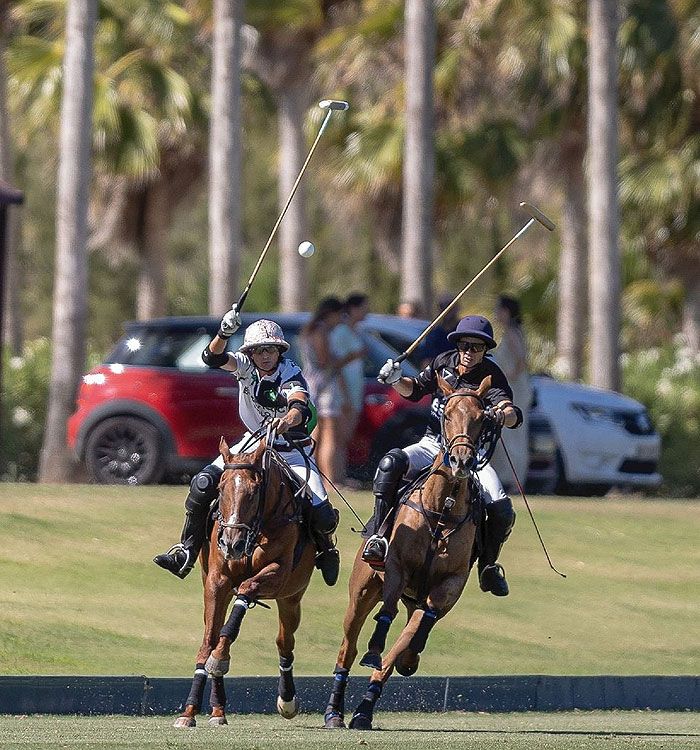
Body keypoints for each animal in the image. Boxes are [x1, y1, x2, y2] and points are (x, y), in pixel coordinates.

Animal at [174, 434, 316, 728]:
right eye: (220, 489)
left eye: (254, 491)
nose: (231, 544)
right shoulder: (217, 581)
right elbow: (209, 641)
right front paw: (189, 712)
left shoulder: (278, 574)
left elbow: (245, 592)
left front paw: (220, 659)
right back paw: (218, 711)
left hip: (292, 596)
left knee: (285, 642)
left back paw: (287, 701)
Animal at [322, 378, 490, 732]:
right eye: (447, 414)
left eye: (482, 418)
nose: (462, 461)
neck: (443, 509)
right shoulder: (397, 567)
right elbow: (386, 616)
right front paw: (375, 648)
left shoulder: (447, 587)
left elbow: (413, 633)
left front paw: (406, 660)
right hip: (361, 591)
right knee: (348, 646)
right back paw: (333, 712)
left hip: (416, 597)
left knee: (404, 639)